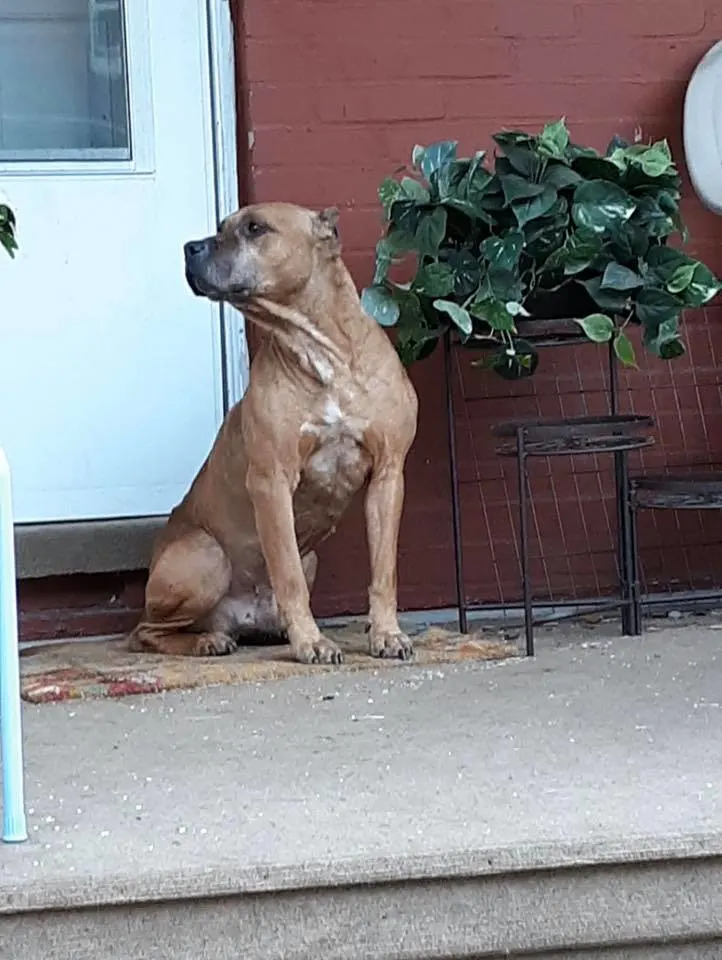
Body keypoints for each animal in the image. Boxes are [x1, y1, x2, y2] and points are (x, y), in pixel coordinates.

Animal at [124, 202, 416, 664]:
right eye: (222, 227)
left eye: (255, 228)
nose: (190, 247)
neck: (323, 353)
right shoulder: (272, 481)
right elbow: (288, 574)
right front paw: (311, 641)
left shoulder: (388, 475)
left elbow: (384, 570)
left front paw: (387, 633)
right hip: (205, 556)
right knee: (145, 632)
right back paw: (207, 640)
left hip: (310, 557)